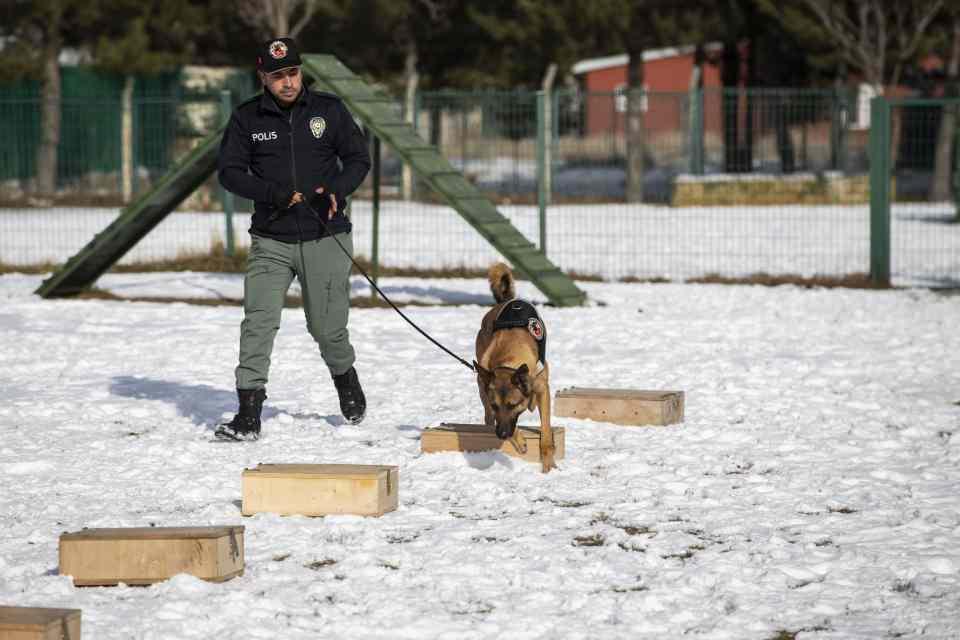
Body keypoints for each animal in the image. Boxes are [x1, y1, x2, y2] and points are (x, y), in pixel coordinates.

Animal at [474, 263, 556, 473]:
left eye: (512, 405)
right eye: (496, 405)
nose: (502, 435)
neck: (509, 361)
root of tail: (508, 300)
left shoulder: (543, 389)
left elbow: (546, 431)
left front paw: (548, 464)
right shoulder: (486, 393)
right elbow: (496, 417)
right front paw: (518, 440)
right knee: (487, 418)